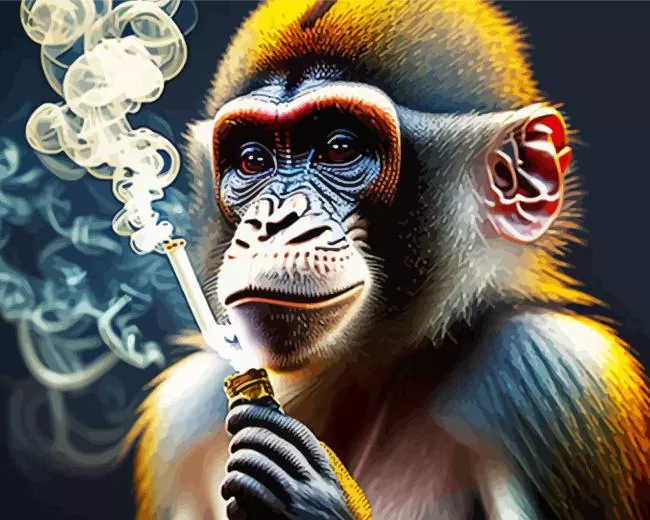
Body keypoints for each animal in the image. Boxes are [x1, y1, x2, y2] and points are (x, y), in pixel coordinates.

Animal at [125, 0, 650, 519]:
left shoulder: (551, 376)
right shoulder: (180, 417)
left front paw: (308, 488)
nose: (272, 222)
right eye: (253, 160)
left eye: (340, 149)